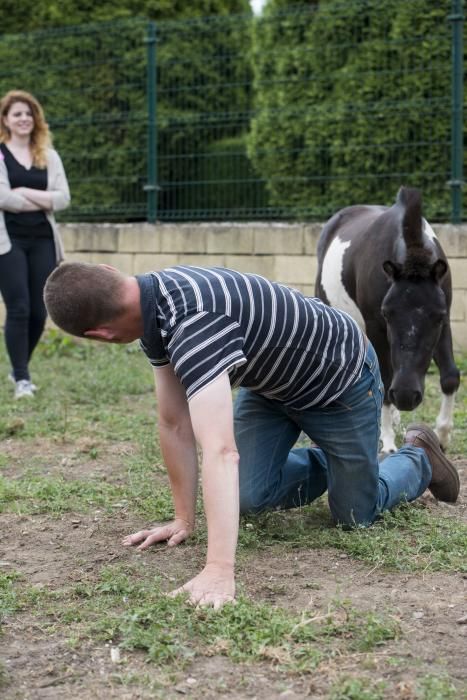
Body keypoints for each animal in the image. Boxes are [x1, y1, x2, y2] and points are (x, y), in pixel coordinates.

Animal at [316, 186, 458, 454]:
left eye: (437, 316)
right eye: (386, 313)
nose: (406, 395)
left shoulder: (444, 323)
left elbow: (450, 377)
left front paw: (442, 437)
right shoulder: (376, 328)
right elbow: (383, 376)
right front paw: (389, 441)